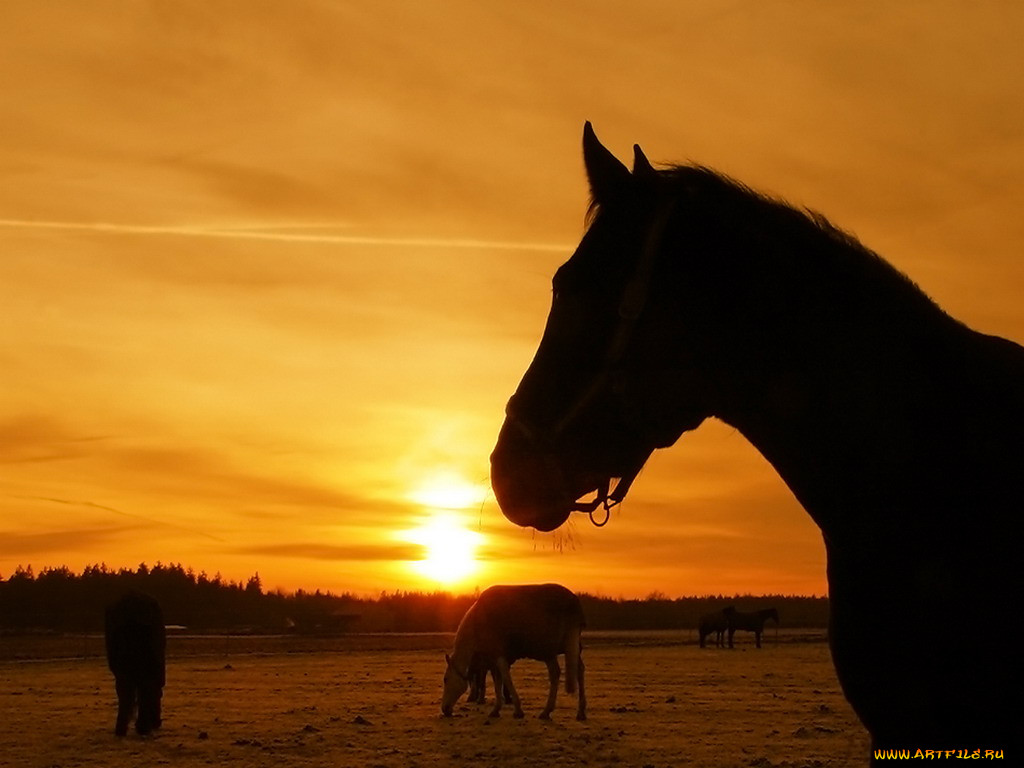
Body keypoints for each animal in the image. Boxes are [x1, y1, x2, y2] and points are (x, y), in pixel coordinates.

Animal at [103, 593, 165, 737]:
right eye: (160, 697)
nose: (157, 723)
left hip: (122, 667)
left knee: (124, 692)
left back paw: (121, 729)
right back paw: (141, 727)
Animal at [440, 581, 585, 720]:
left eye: (446, 679)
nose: (444, 709)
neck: (476, 624)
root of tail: (574, 602)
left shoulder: (499, 655)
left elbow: (506, 679)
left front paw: (517, 710)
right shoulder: (493, 658)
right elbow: (498, 681)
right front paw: (496, 709)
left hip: (551, 649)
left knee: (557, 673)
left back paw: (547, 711)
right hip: (568, 647)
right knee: (578, 670)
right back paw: (579, 713)